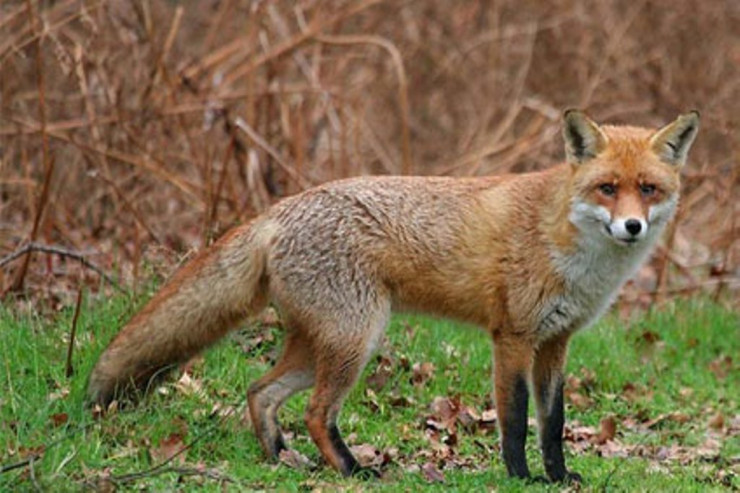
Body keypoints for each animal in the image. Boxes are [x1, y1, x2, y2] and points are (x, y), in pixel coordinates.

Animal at [88, 109, 700, 482]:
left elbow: (552, 422)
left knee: (259, 392)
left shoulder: (555, 342)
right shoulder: (512, 337)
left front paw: (558, 477)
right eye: (607, 188)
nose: (631, 228)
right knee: (315, 412)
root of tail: (280, 209)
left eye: (649, 190)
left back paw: (281, 459)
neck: (572, 249)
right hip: (357, 340)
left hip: (322, 344)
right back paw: (352, 470)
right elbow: (514, 417)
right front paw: (519, 477)